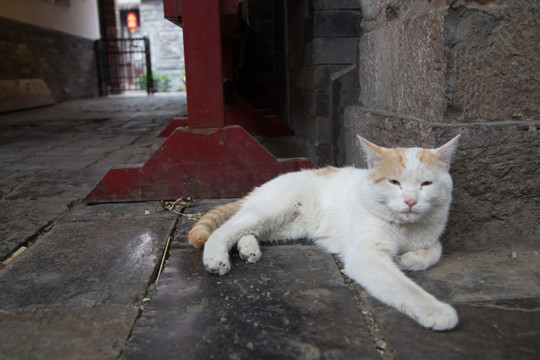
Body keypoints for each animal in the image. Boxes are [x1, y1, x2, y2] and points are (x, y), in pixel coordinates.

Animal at [189, 136, 460, 332]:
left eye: (426, 184)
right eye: (394, 182)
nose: (411, 201)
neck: (406, 229)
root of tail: (262, 186)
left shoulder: (430, 236)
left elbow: (435, 249)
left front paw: (407, 259)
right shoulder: (365, 257)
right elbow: (404, 287)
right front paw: (436, 311)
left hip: (283, 227)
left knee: (247, 231)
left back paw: (248, 248)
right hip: (271, 210)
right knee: (226, 228)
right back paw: (216, 257)